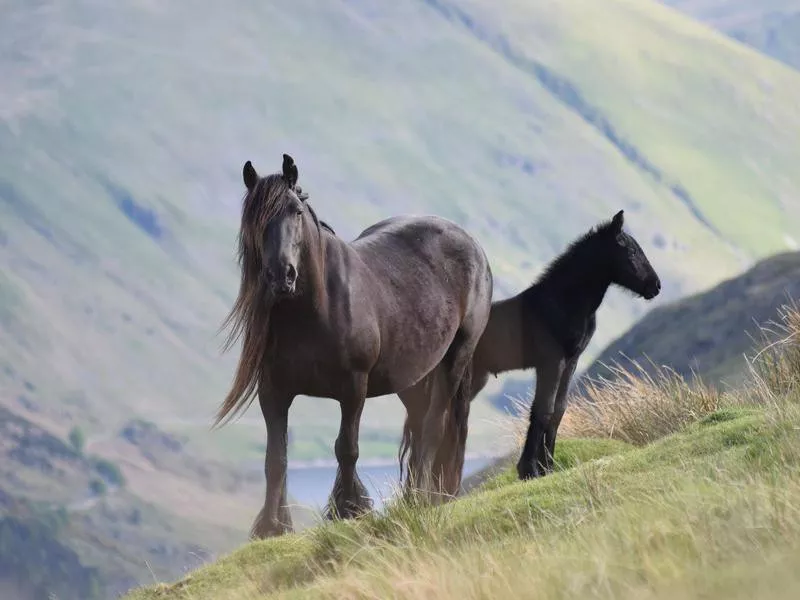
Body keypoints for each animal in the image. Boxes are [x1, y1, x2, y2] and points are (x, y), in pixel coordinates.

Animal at [212, 155, 490, 540]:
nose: (281, 276)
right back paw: (416, 497)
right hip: (413, 376)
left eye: (296, 211)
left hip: (455, 359)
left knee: (437, 425)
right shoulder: (273, 392)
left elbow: (347, 449)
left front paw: (348, 510)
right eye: (254, 218)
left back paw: (423, 498)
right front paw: (272, 528)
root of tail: (469, 241)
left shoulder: (354, 387)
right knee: (421, 428)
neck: (314, 310)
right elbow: (275, 458)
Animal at [404, 209, 660, 490]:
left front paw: (547, 466)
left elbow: (558, 410)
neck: (561, 303)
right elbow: (542, 410)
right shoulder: (551, 362)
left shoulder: (570, 362)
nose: (655, 286)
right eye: (631, 250)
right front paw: (530, 470)